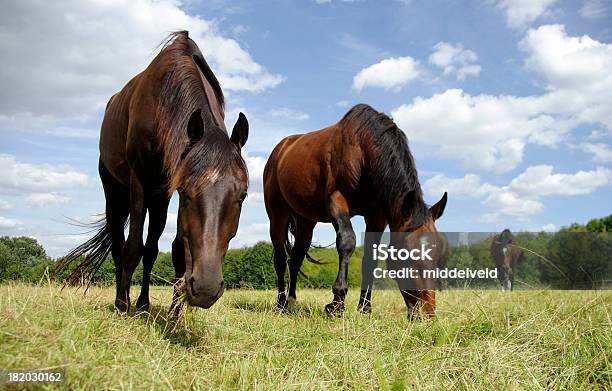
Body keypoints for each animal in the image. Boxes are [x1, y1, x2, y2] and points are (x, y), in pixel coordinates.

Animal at [57, 30, 249, 314]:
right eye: (187, 192)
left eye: (243, 196)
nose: (206, 289)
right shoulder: (141, 180)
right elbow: (133, 246)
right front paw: (123, 305)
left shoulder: (168, 187)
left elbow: (171, 249)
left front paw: (173, 313)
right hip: (115, 190)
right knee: (118, 243)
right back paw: (122, 301)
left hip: (156, 196)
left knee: (150, 247)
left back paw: (143, 303)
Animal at [262, 105, 444, 318]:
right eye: (409, 256)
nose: (427, 314)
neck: (362, 150)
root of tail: (280, 150)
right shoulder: (337, 201)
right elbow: (347, 242)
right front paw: (336, 303)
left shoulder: (376, 216)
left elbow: (371, 258)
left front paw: (365, 307)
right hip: (277, 214)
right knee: (281, 259)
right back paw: (281, 303)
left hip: (306, 221)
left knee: (296, 259)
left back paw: (291, 301)